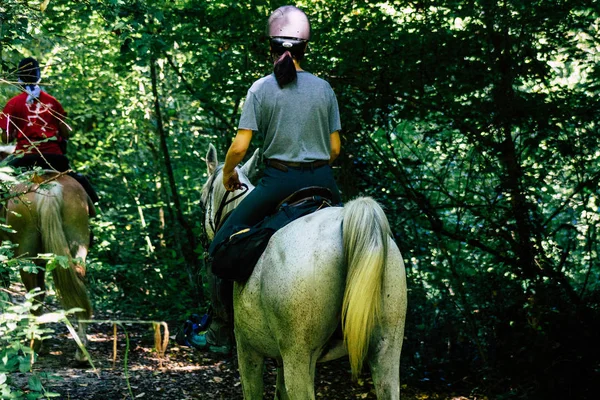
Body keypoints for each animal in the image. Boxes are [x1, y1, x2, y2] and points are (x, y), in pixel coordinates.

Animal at [1, 170, 94, 360]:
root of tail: (49, 185)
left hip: (27, 259)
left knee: (34, 298)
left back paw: (33, 346)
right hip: (77, 247)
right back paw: (81, 351)